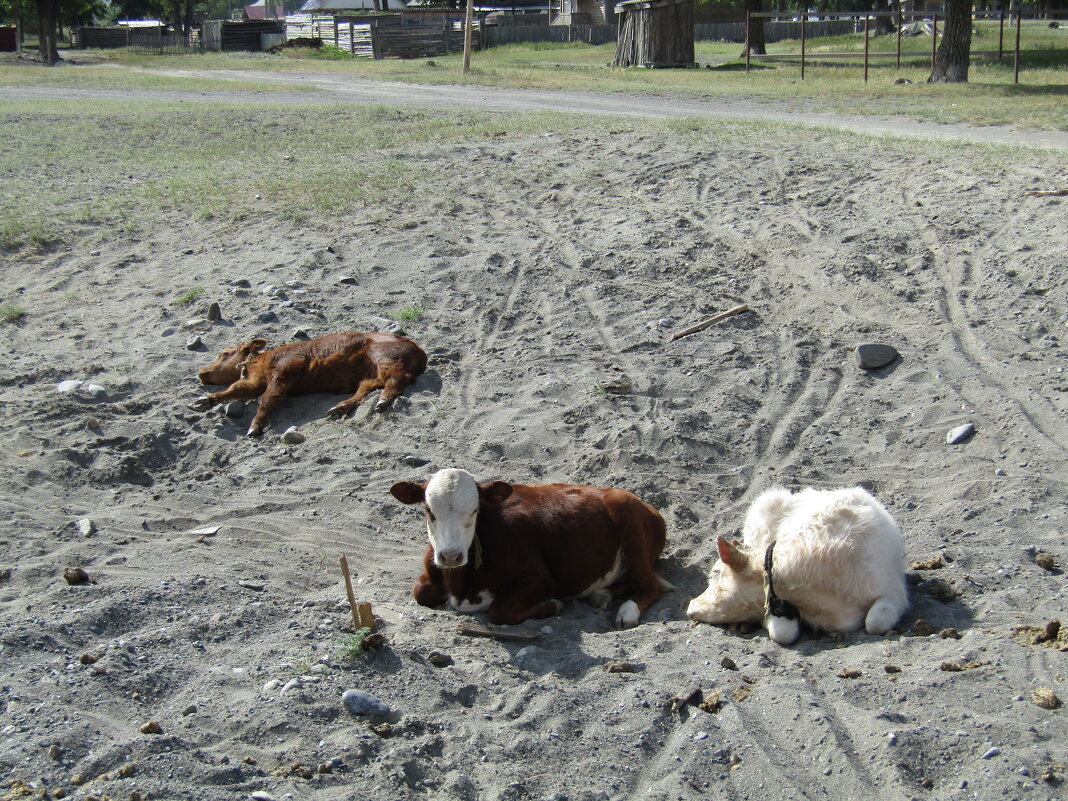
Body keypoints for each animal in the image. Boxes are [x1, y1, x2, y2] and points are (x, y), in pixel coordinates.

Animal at [194, 331, 427, 440]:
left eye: (224, 353)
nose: (201, 372)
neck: (260, 360)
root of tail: (419, 350)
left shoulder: (282, 372)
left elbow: (266, 399)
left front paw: (254, 428)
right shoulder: (257, 382)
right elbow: (238, 389)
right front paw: (204, 401)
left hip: (384, 357)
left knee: (396, 377)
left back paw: (383, 401)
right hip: (371, 373)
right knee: (366, 388)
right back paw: (338, 408)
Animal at [388, 467, 670, 632]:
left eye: (475, 511)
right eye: (429, 511)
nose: (450, 555)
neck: (460, 585)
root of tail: (647, 506)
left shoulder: (541, 579)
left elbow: (500, 610)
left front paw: (553, 605)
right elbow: (420, 592)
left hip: (632, 531)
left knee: (650, 585)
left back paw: (627, 612)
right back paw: (602, 595)